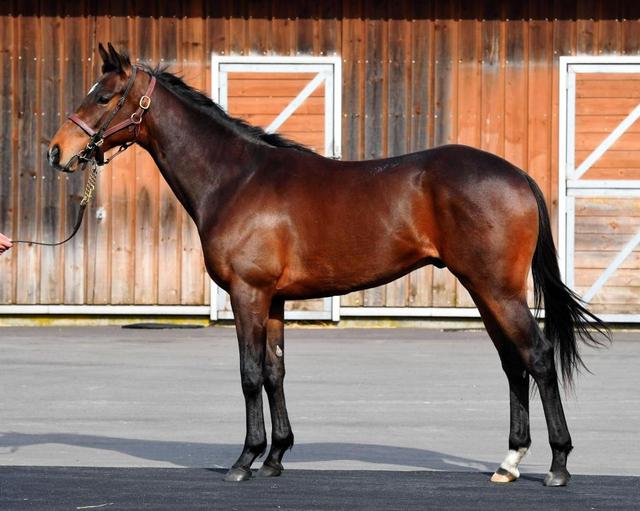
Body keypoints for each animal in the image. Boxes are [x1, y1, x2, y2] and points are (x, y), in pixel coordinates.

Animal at [47, 43, 608, 487]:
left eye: (103, 97)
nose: (57, 151)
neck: (237, 178)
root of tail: (518, 176)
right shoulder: (273, 300)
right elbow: (274, 372)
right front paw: (275, 456)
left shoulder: (248, 294)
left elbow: (249, 374)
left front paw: (245, 459)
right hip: (483, 290)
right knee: (513, 364)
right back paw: (509, 462)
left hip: (497, 289)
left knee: (538, 357)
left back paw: (558, 466)